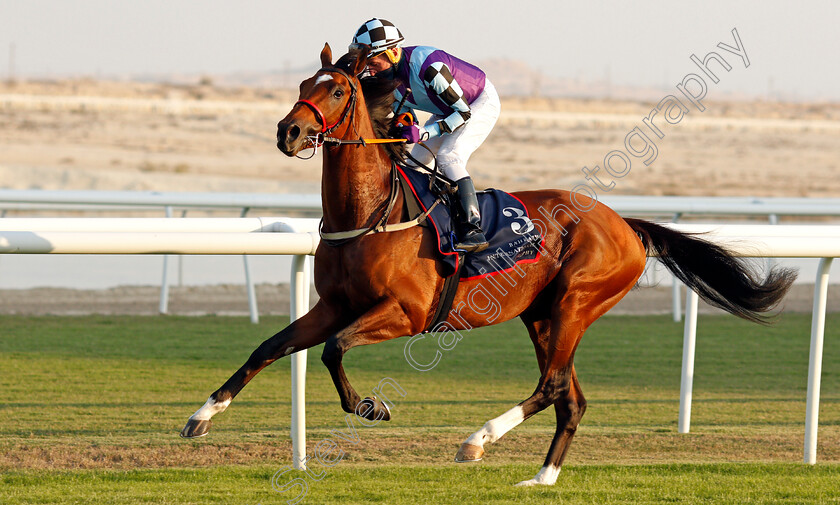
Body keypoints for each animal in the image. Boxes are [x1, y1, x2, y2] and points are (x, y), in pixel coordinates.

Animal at [180, 45, 796, 486]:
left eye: (335, 89)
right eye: (302, 87)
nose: (288, 132)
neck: (373, 211)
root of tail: (625, 224)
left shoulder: (405, 313)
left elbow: (333, 351)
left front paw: (370, 407)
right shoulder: (334, 305)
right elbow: (270, 347)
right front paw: (203, 415)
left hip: (575, 302)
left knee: (552, 386)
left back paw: (477, 441)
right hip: (543, 316)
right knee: (570, 397)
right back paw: (541, 478)